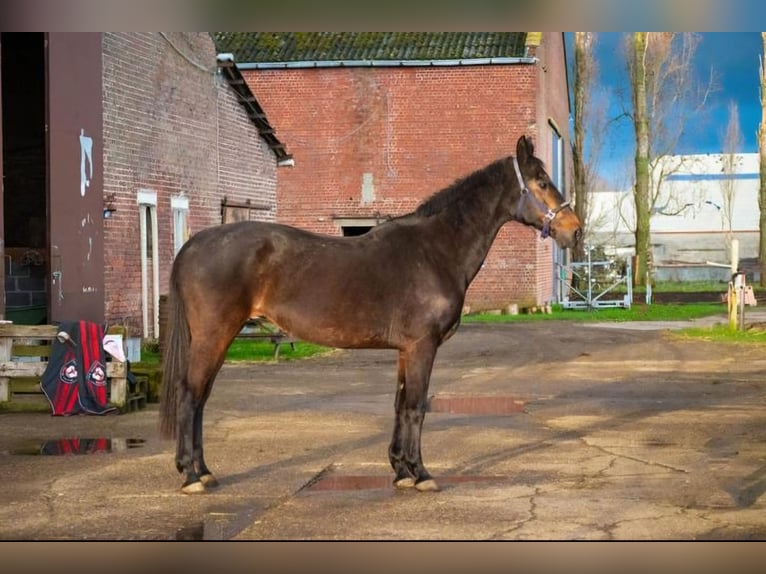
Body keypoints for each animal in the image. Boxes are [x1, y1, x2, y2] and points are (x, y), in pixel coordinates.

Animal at [160, 136, 584, 496]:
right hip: (215, 335)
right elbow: (416, 406)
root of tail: (193, 244)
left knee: (202, 397)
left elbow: (400, 404)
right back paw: (192, 476)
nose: (575, 231)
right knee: (190, 394)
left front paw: (401, 471)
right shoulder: (422, 347)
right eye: (542, 181)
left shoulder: (406, 351)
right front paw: (421, 474)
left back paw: (204, 471)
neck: (435, 250)